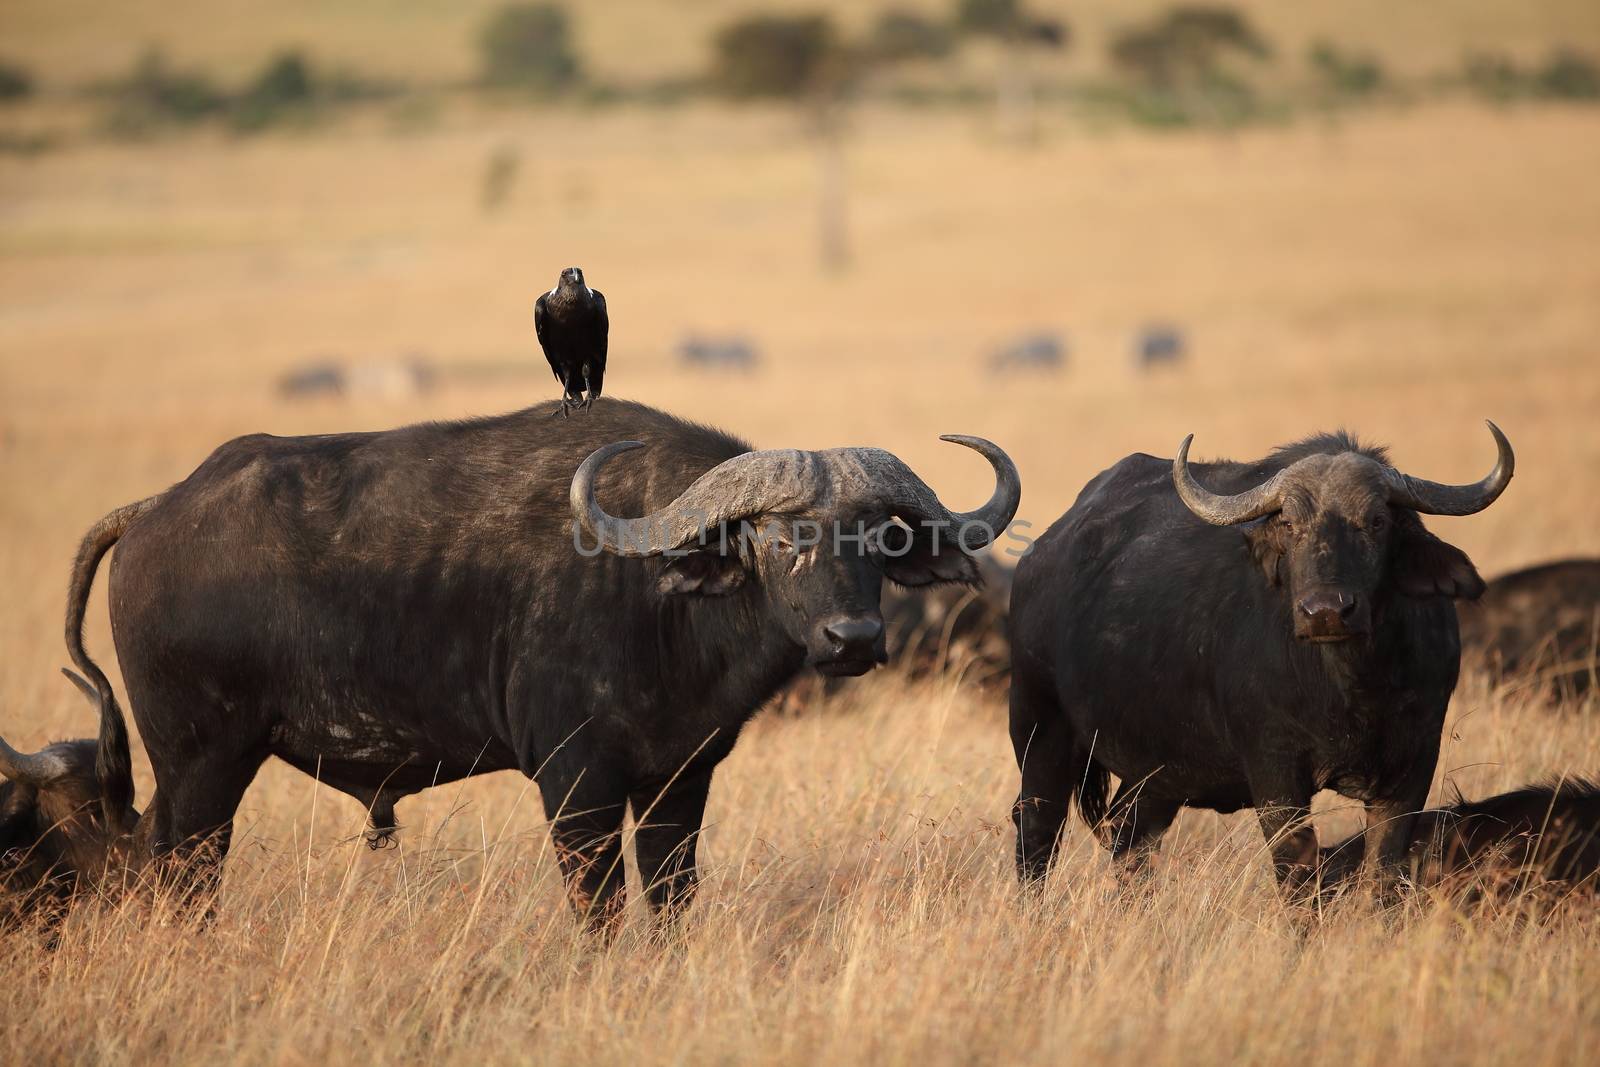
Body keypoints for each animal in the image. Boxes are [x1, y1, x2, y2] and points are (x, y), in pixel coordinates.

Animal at [0, 399, 1017, 927]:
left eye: (878, 537)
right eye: (776, 535)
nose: (854, 639)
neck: (654, 597)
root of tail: (159, 507)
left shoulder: (681, 777)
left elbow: (670, 896)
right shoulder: (575, 782)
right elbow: (600, 906)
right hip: (201, 765)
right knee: (178, 873)